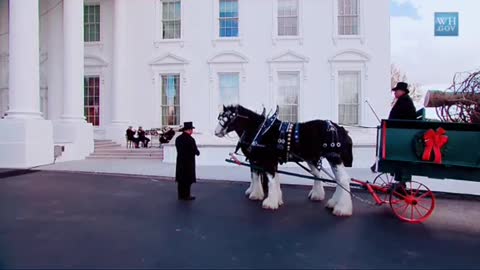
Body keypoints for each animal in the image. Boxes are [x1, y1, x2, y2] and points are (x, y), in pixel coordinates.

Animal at [216, 104, 354, 216]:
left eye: (226, 118)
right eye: (219, 117)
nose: (216, 132)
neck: (261, 130)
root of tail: (340, 129)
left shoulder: (266, 159)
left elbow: (268, 179)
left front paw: (267, 201)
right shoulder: (267, 160)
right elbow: (271, 178)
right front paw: (275, 199)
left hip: (333, 156)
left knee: (343, 179)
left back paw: (342, 209)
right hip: (317, 158)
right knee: (331, 178)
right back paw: (330, 201)